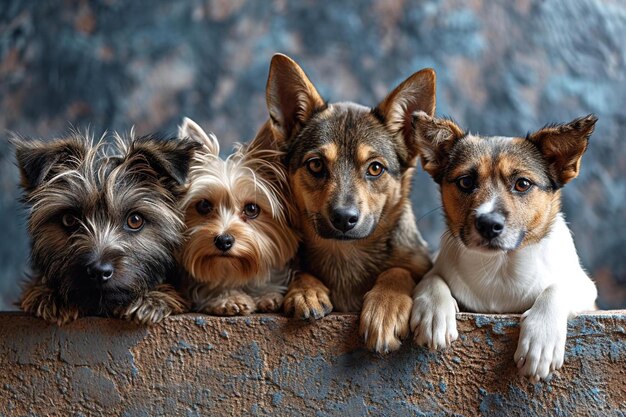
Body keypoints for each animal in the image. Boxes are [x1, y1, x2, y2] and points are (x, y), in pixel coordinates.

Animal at [264, 53, 434, 352]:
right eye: (316, 165)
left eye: (375, 168)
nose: (344, 217)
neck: (345, 253)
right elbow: (297, 269)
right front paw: (306, 290)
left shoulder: (418, 261)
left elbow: (398, 271)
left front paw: (386, 306)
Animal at [410, 113, 596, 380]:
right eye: (466, 182)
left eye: (523, 184)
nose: (489, 224)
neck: (500, 266)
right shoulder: (436, 268)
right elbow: (432, 278)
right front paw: (433, 313)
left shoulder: (588, 292)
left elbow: (556, 289)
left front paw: (542, 339)